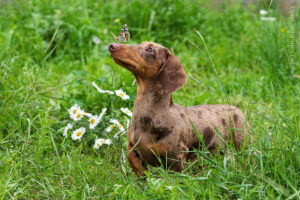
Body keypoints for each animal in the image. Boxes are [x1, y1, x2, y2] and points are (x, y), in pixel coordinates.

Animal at [109, 41, 250, 177]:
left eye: (149, 49)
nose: (112, 45)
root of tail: (236, 108)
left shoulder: (177, 155)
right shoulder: (131, 147)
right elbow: (137, 166)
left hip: (243, 143)